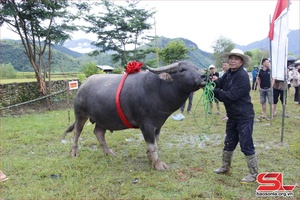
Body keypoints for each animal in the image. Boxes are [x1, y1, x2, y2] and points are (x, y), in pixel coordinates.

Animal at [63, 61, 206, 170]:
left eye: (196, 68)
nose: (203, 76)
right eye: (182, 69)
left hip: (103, 118)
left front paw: (150, 158)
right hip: (80, 114)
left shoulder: (158, 125)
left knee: (99, 132)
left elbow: (155, 143)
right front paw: (158, 164)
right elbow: (152, 145)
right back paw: (74, 152)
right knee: (77, 132)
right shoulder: (146, 125)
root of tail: (82, 86)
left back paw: (108, 152)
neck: (159, 90)